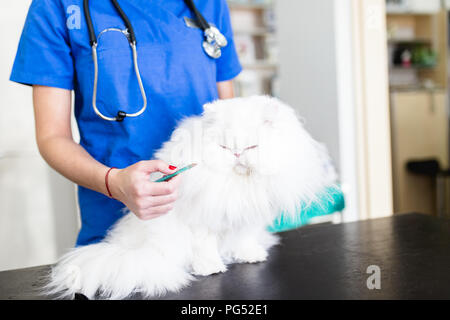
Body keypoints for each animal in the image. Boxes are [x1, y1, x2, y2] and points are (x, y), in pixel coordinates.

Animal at [44, 95, 338, 300]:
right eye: (224, 147)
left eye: (252, 146)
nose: (237, 154)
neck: (238, 182)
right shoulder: (202, 224)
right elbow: (205, 249)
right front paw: (210, 268)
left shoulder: (245, 217)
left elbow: (244, 239)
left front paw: (250, 256)